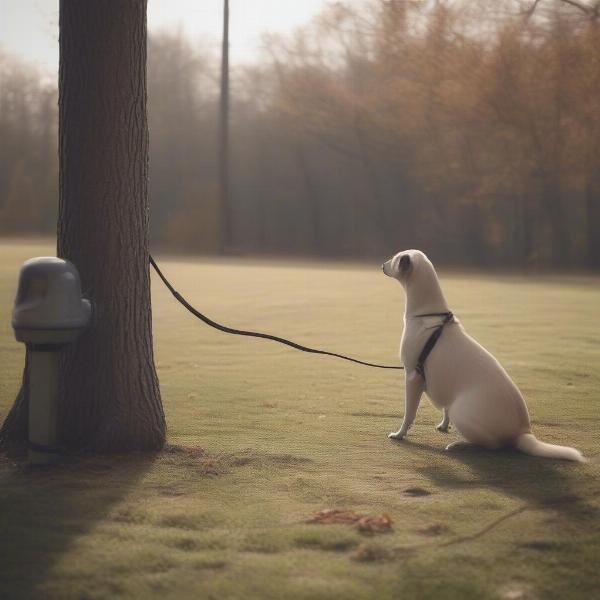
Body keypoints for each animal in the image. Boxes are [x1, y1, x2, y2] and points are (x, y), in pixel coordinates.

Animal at [384, 251, 584, 462]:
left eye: (395, 258)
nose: (382, 265)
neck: (427, 314)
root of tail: (523, 433)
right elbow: (444, 408)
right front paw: (443, 425)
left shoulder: (412, 376)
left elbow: (409, 414)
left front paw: (399, 434)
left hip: (461, 412)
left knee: (492, 446)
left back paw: (460, 445)